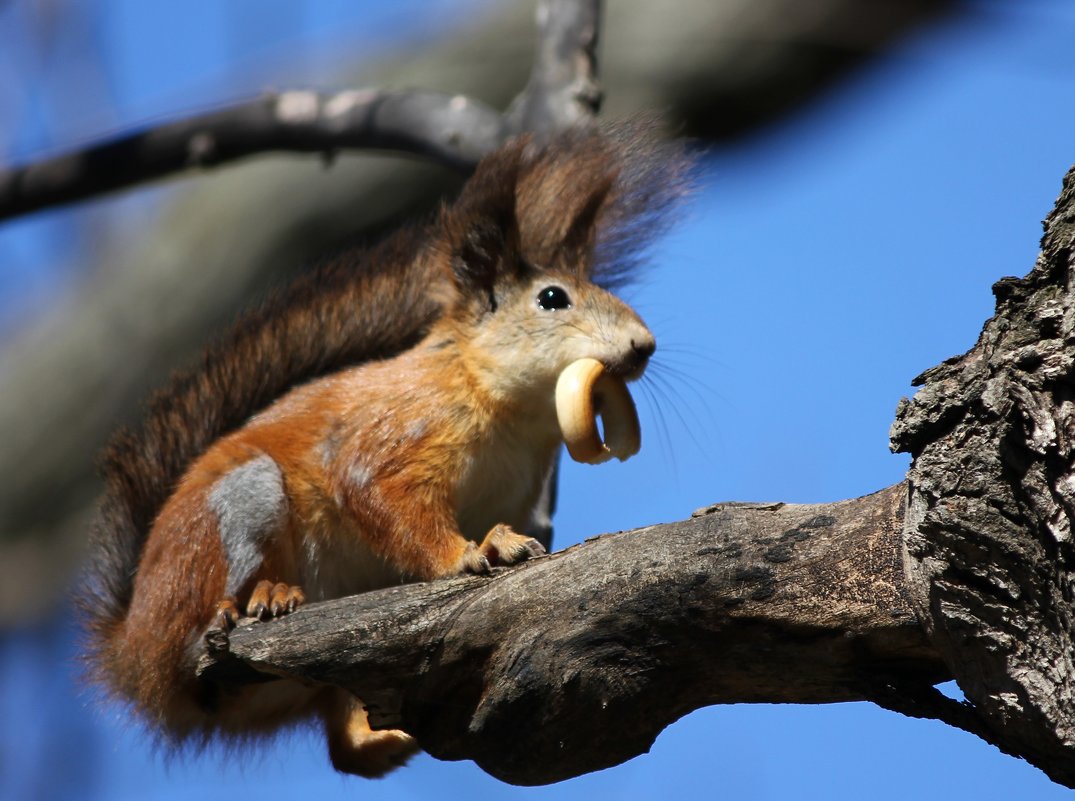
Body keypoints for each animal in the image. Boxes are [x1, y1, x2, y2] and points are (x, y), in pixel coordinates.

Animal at [81, 118, 688, 774]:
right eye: (553, 298)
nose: (644, 345)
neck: (512, 414)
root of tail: (128, 646)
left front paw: (501, 542)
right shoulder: (397, 430)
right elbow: (379, 495)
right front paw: (468, 554)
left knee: (344, 750)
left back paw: (390, 735)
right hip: (234, 511)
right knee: (194, 638)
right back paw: (255, 599)